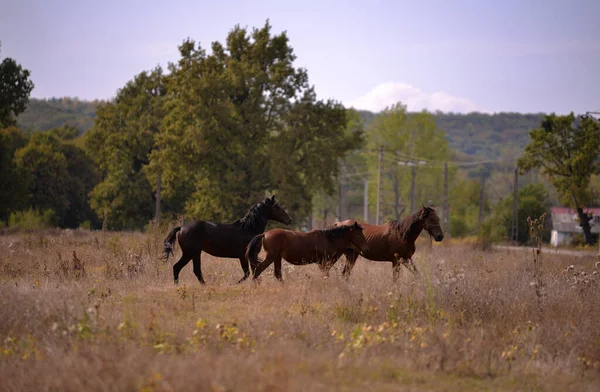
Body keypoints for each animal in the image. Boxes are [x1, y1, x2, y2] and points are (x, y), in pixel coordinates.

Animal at [163, 195, 292, 284]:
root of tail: (181, 228)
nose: (289, 220)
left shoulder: (248, 256)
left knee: (196, 271)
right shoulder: (247, 255)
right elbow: (249, 273)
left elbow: (251, 273)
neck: (249, 229)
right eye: (277, 207)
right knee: (177, 267)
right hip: (189, 253)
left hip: (196, 253)